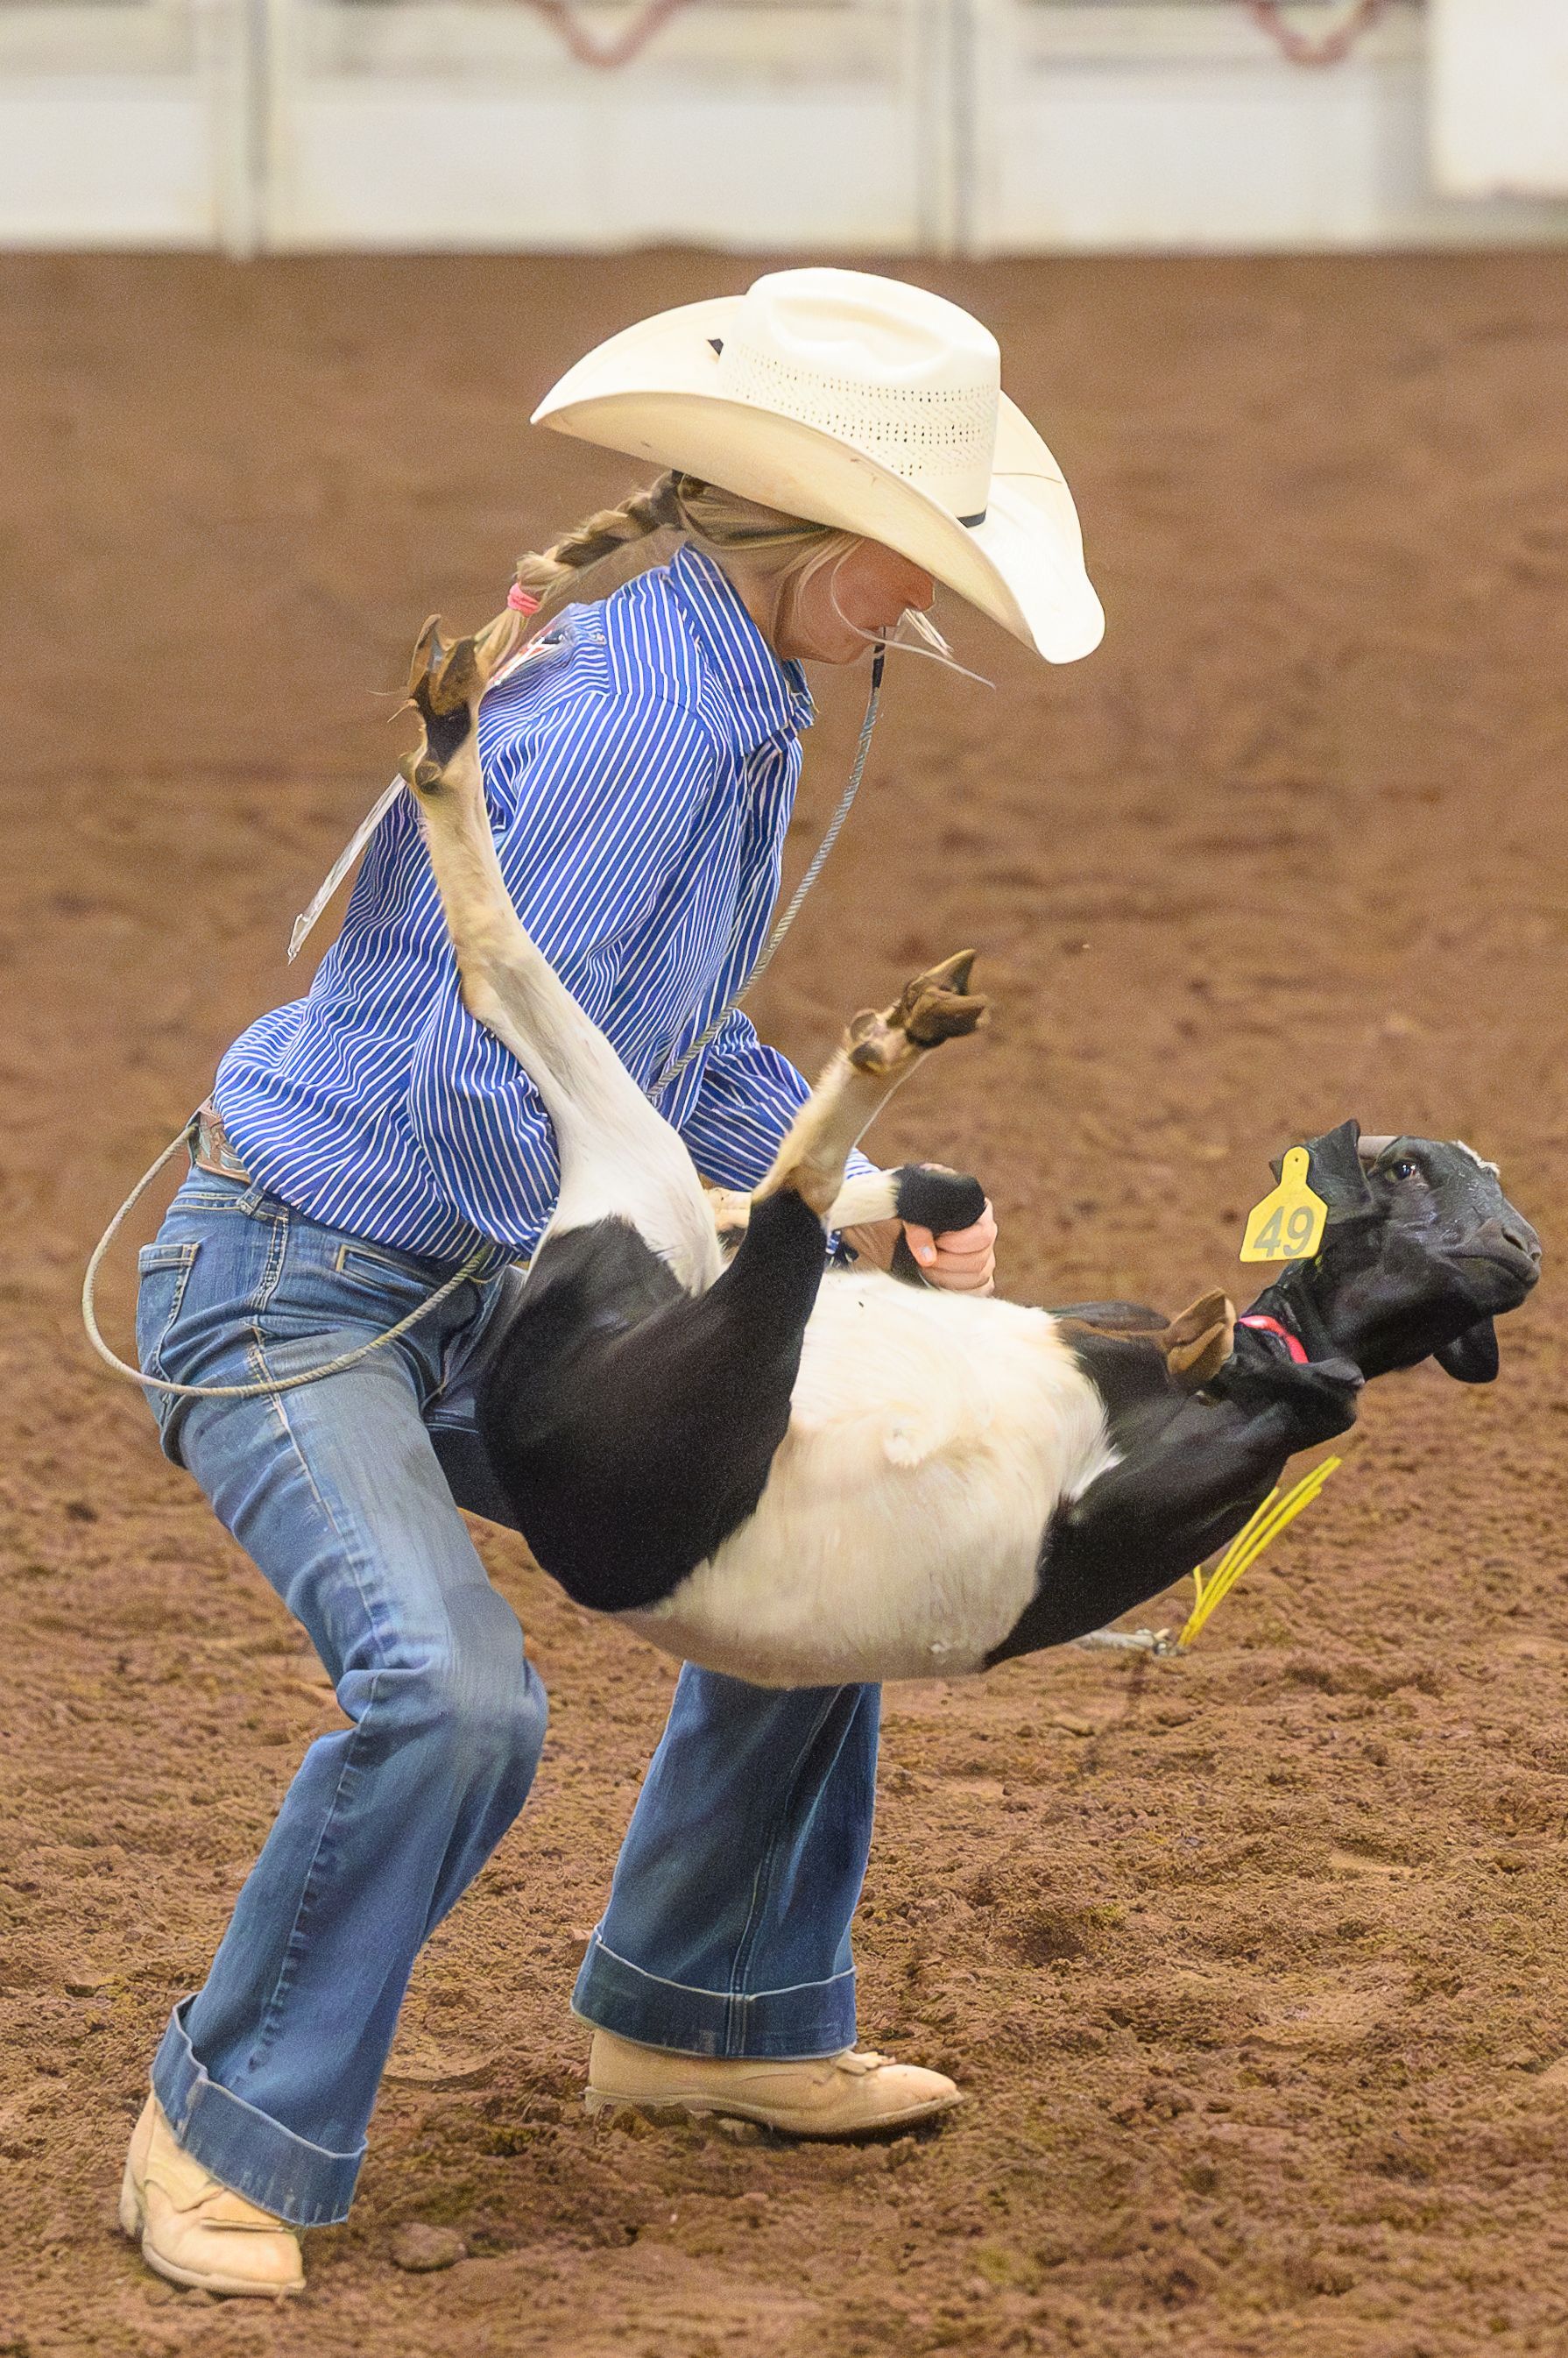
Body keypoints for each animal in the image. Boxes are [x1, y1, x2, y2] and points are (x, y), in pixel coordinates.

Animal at [402, 616, 1542, 1686]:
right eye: (1407, 1168)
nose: (1519, 1250)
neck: (1271, 1353)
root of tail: (528, 1414)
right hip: (671, 1274)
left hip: (670, 1306)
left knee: (563, 1023)